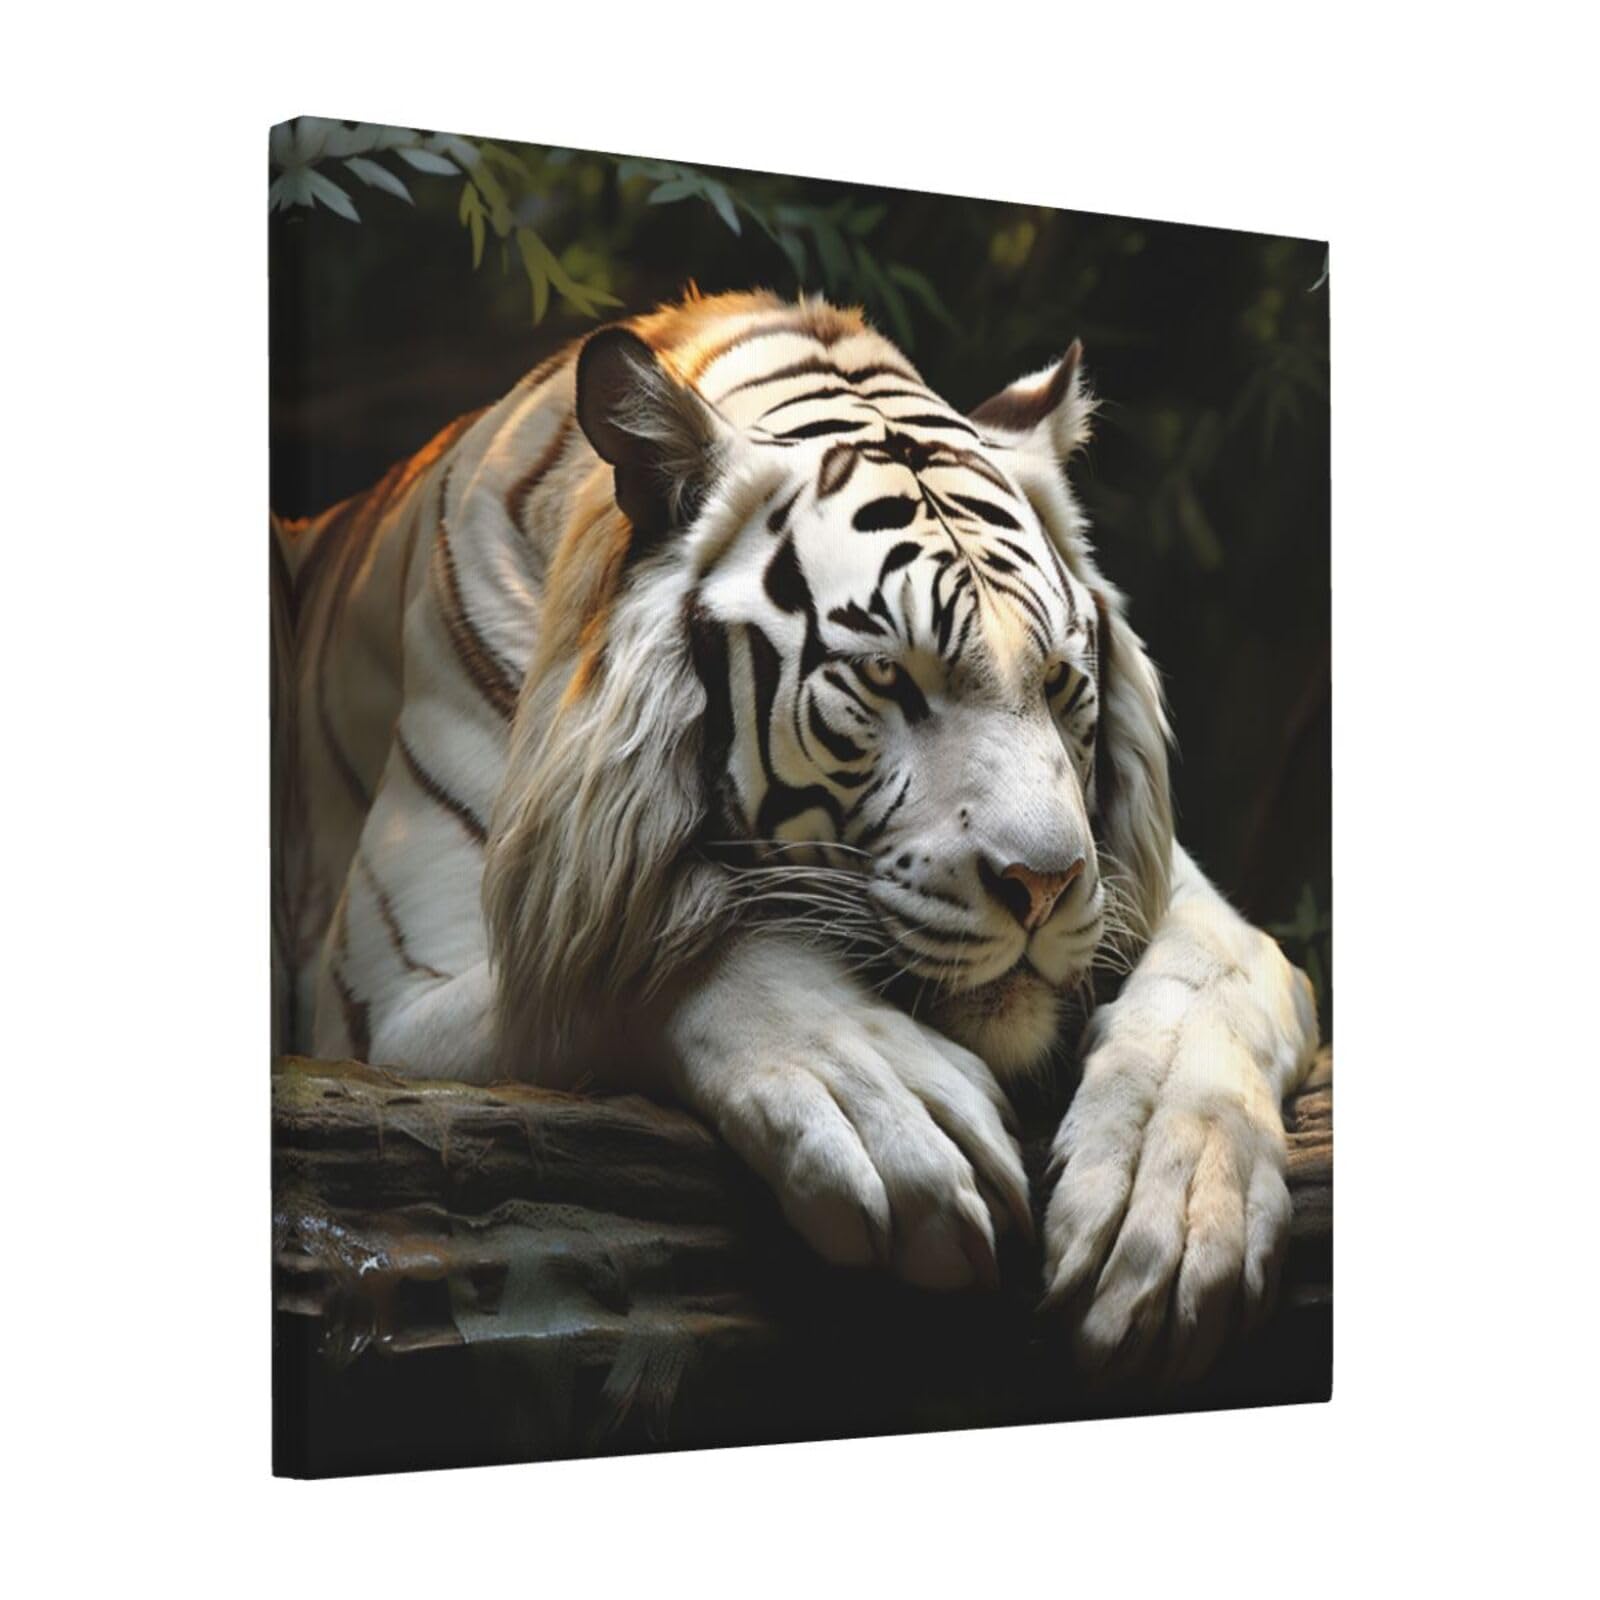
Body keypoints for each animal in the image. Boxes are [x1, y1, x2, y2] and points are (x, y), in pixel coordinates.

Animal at [273, 288, 1319, 1375]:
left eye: (1057, 682)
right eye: (888, 678)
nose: (1043, 882)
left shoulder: (1160, 890)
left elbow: (1219, 974)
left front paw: (1174, 1201)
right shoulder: (388, 997)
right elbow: (655, 953)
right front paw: (890, 1112)